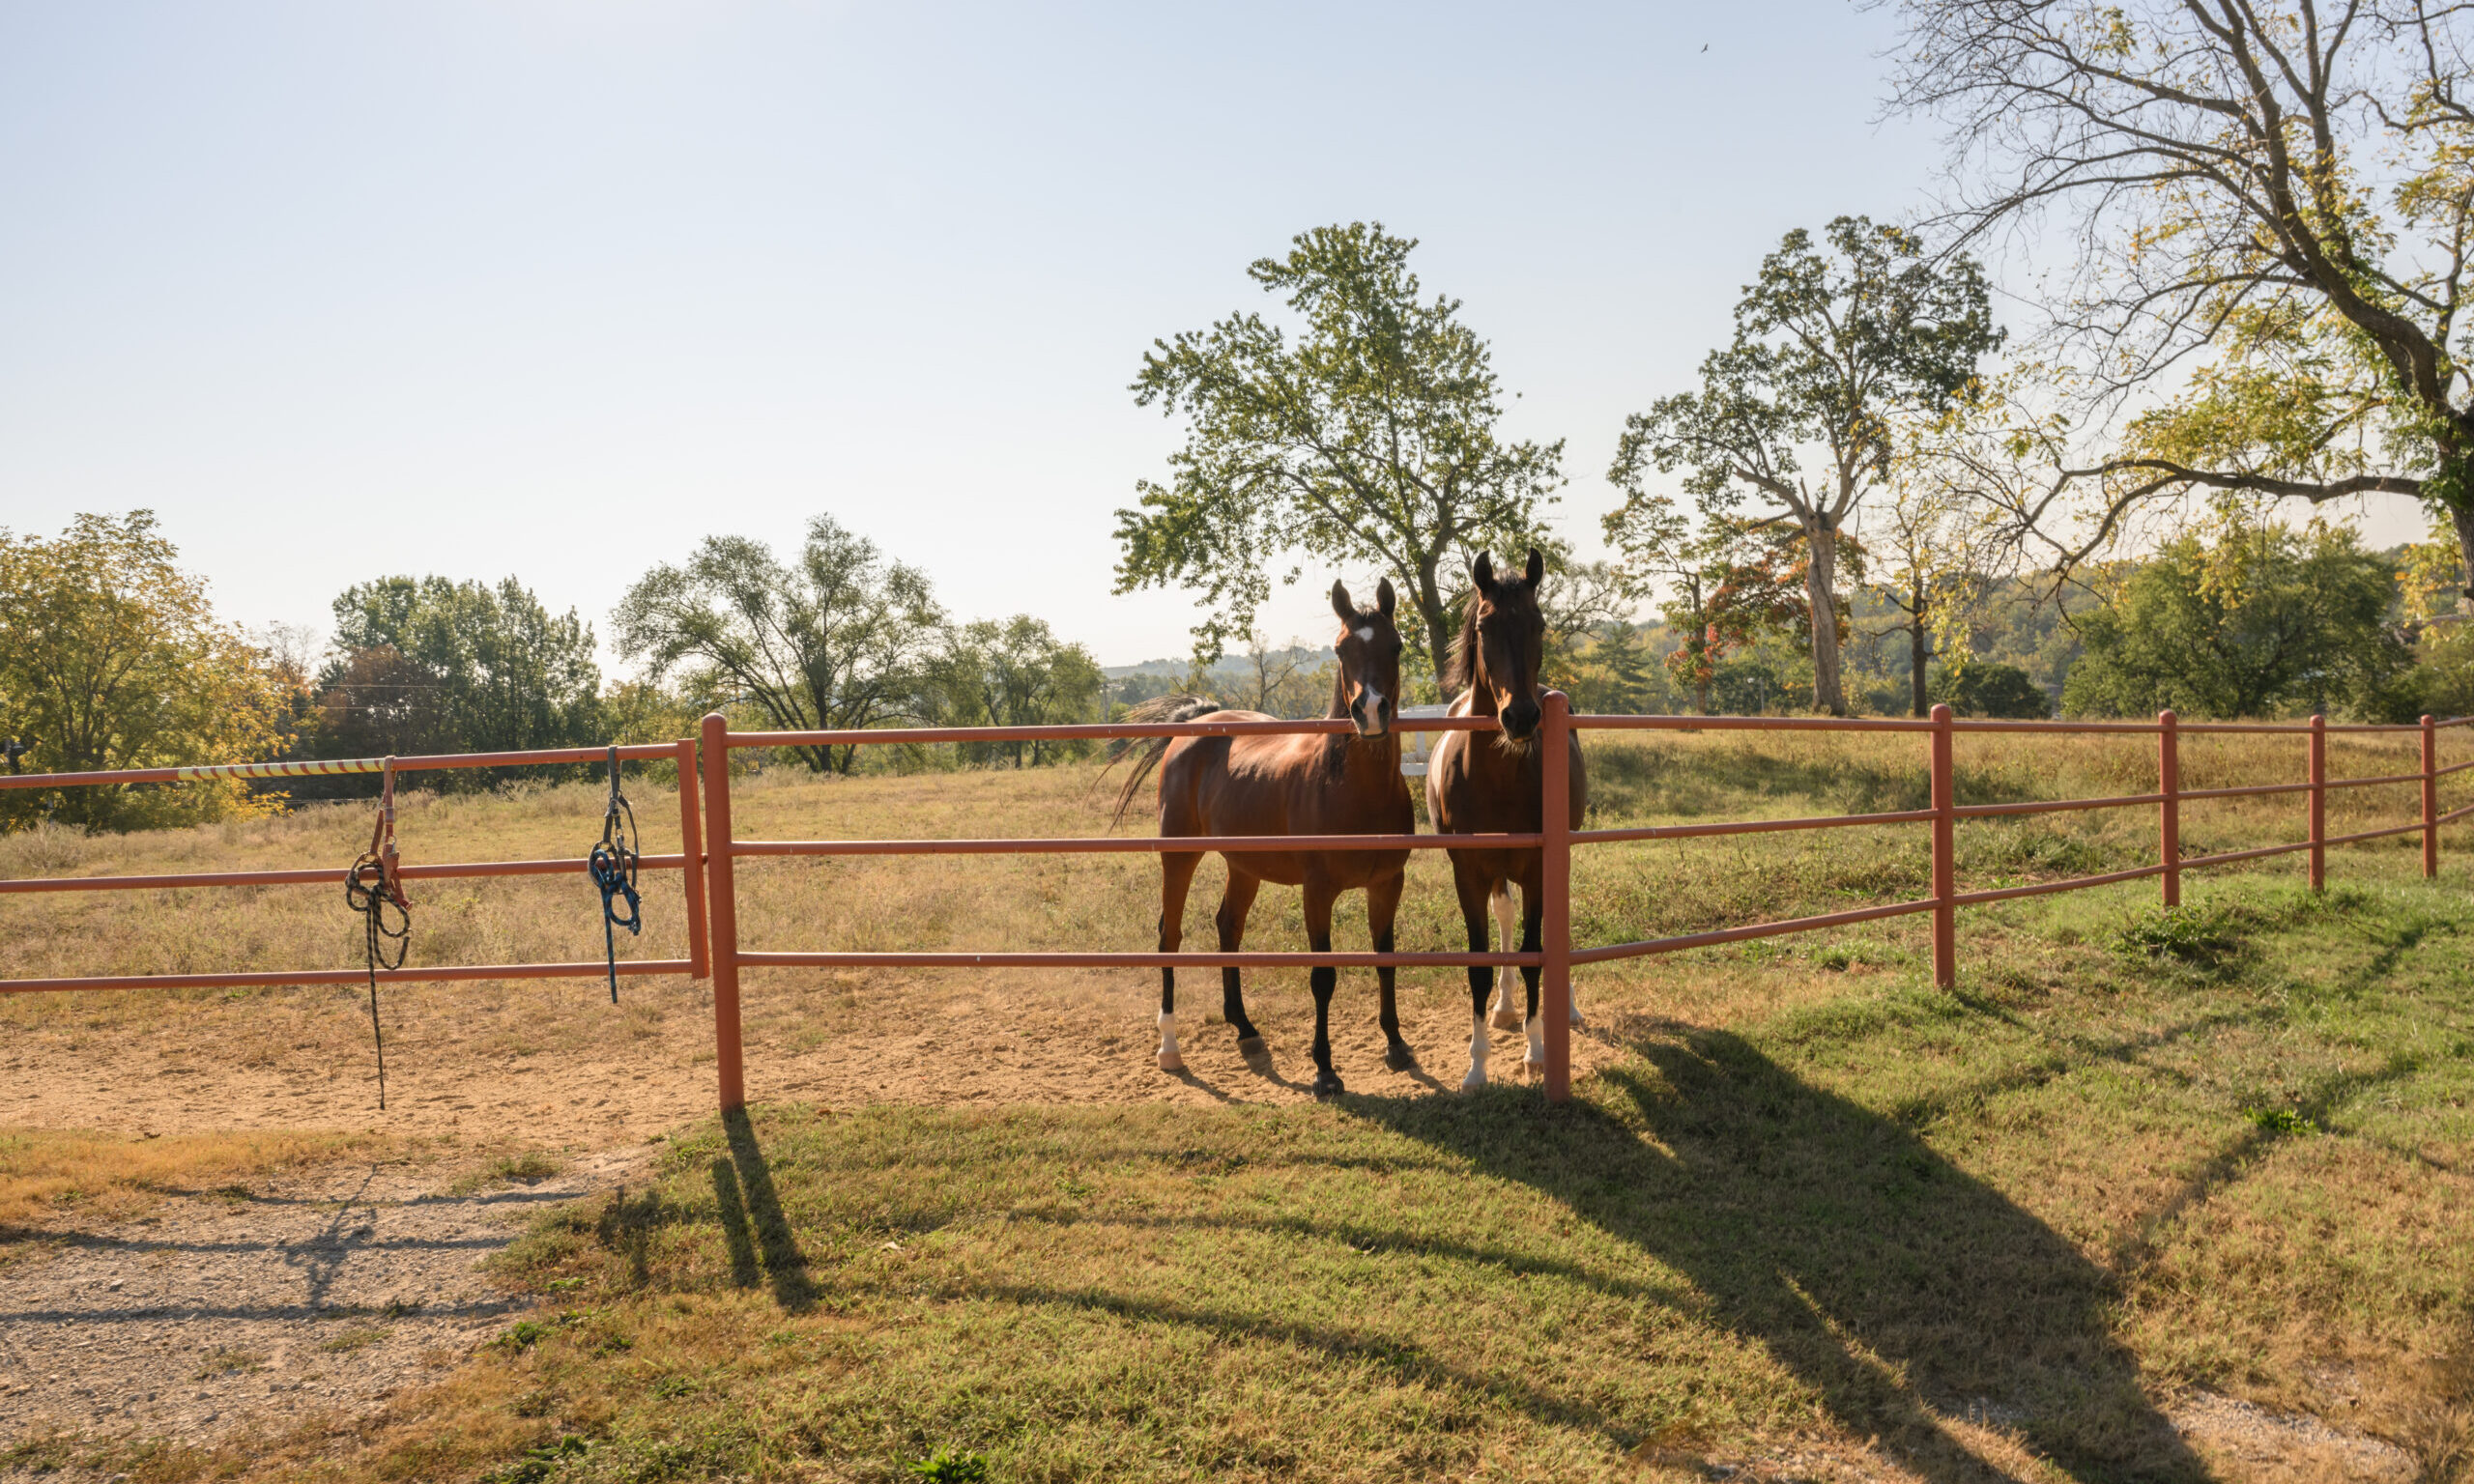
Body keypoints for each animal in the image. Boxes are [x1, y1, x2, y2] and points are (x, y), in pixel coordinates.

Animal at [1111, 579, 1414, 1098]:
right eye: (1341, 649)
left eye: (1395, 645)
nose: (1371, 711)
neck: (1352, 788)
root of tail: (1194, 725)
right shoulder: (1318, 893)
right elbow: (1323, 977)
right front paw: (1324, 1070)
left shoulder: (1386, 884)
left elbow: (1385, 959)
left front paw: (1396, 1044)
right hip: (1178, 857)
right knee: (1170, 934)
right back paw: (1169, 1046)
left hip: (1243, 865)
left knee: (1228, 926)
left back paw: (1245, 1029)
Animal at [1425, 548, 1588, 1092]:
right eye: (1484, 627)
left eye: (1538, 624)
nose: (1520, 717)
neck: (1496, 778)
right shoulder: (1470, 873)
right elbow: (1479, 963)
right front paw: (1477, 1066)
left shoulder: (1538, 869)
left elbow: (1538, 952)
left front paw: (1536, 1051)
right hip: (1495, 873)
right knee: (1505, 918)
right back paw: (1504, 1006)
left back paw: (1566, 1009)